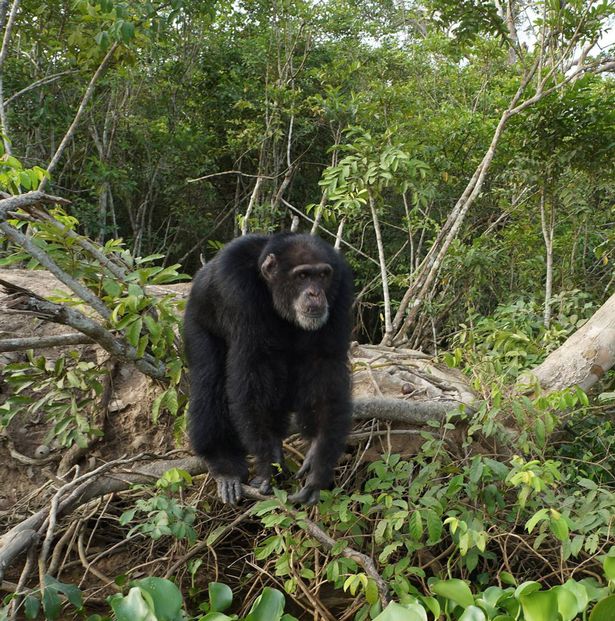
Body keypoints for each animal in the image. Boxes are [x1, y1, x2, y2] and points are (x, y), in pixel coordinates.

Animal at [183, 231, 354, 504]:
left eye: (322, 275)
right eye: (302, 276)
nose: (315, 293)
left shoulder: (341, 288)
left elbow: (324, 365)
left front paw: (318, 462)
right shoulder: (237, 291)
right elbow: (254, 367)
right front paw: (268, 461)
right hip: (196, 321)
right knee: (209, 380)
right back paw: (224, 464)